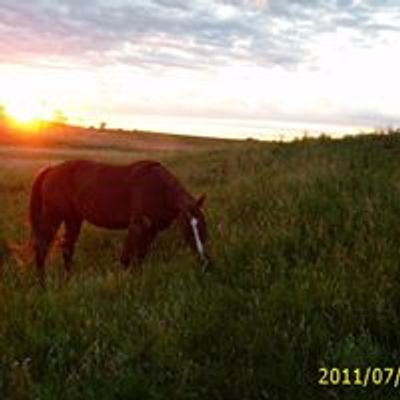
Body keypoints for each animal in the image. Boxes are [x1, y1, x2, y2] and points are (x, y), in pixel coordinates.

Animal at [28, 158, 209, 286]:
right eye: (187, 229)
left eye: (203, 227)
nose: (204, 262)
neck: (158, 188)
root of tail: (51, 169)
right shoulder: (137, 226)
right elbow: (126, 259)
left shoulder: (152, 230)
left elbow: (141, 256)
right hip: (53, 217)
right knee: (42, 248)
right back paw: (42, 285)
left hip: (73, 219)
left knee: (67, 248)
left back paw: (69, 280)